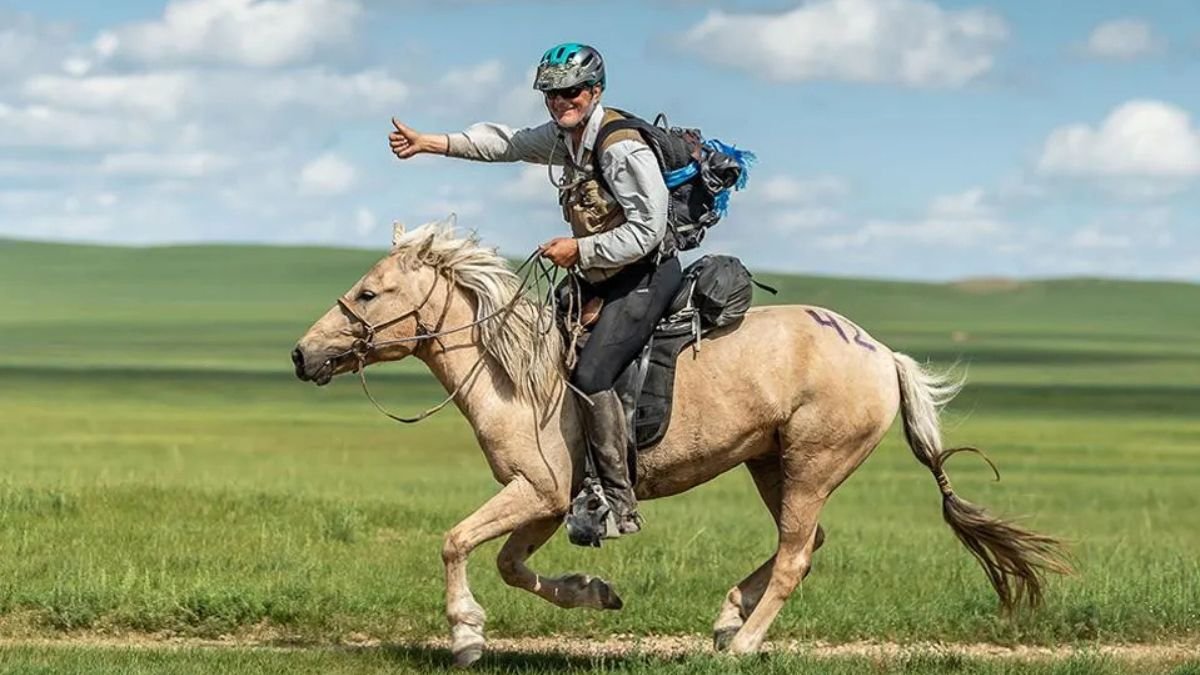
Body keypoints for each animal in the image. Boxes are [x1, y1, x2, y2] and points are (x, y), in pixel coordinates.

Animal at [291, 219, 1068, 667]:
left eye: (369, 293)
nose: (302, 355)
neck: (517, 372)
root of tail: (882, 355)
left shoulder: (536, 491)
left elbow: (454, 541)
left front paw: (466, 635)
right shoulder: (549, 501)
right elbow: (511, 565)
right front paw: (596, 593)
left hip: (811, 464)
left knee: (795, 555)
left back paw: (743, 643)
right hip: (771, 463)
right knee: (804, 545)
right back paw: (728, 617)